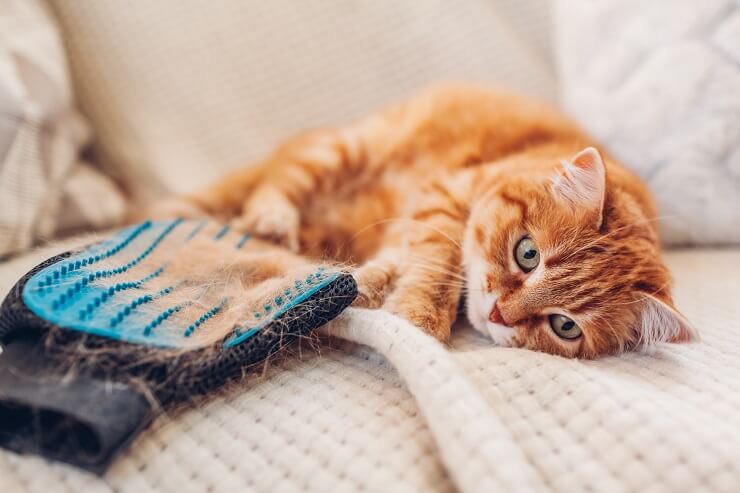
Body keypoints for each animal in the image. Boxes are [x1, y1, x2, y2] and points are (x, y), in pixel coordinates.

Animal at [152, 85, 700, 358]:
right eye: (527, 253)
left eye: (564, 326)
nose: (500, 315)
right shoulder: (445, 195)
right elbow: (439, 262)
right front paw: (417, 318)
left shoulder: (410, 223)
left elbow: (394, 262)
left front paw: (366, 285)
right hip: (344, 147)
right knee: (274, 181)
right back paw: (261, 218)